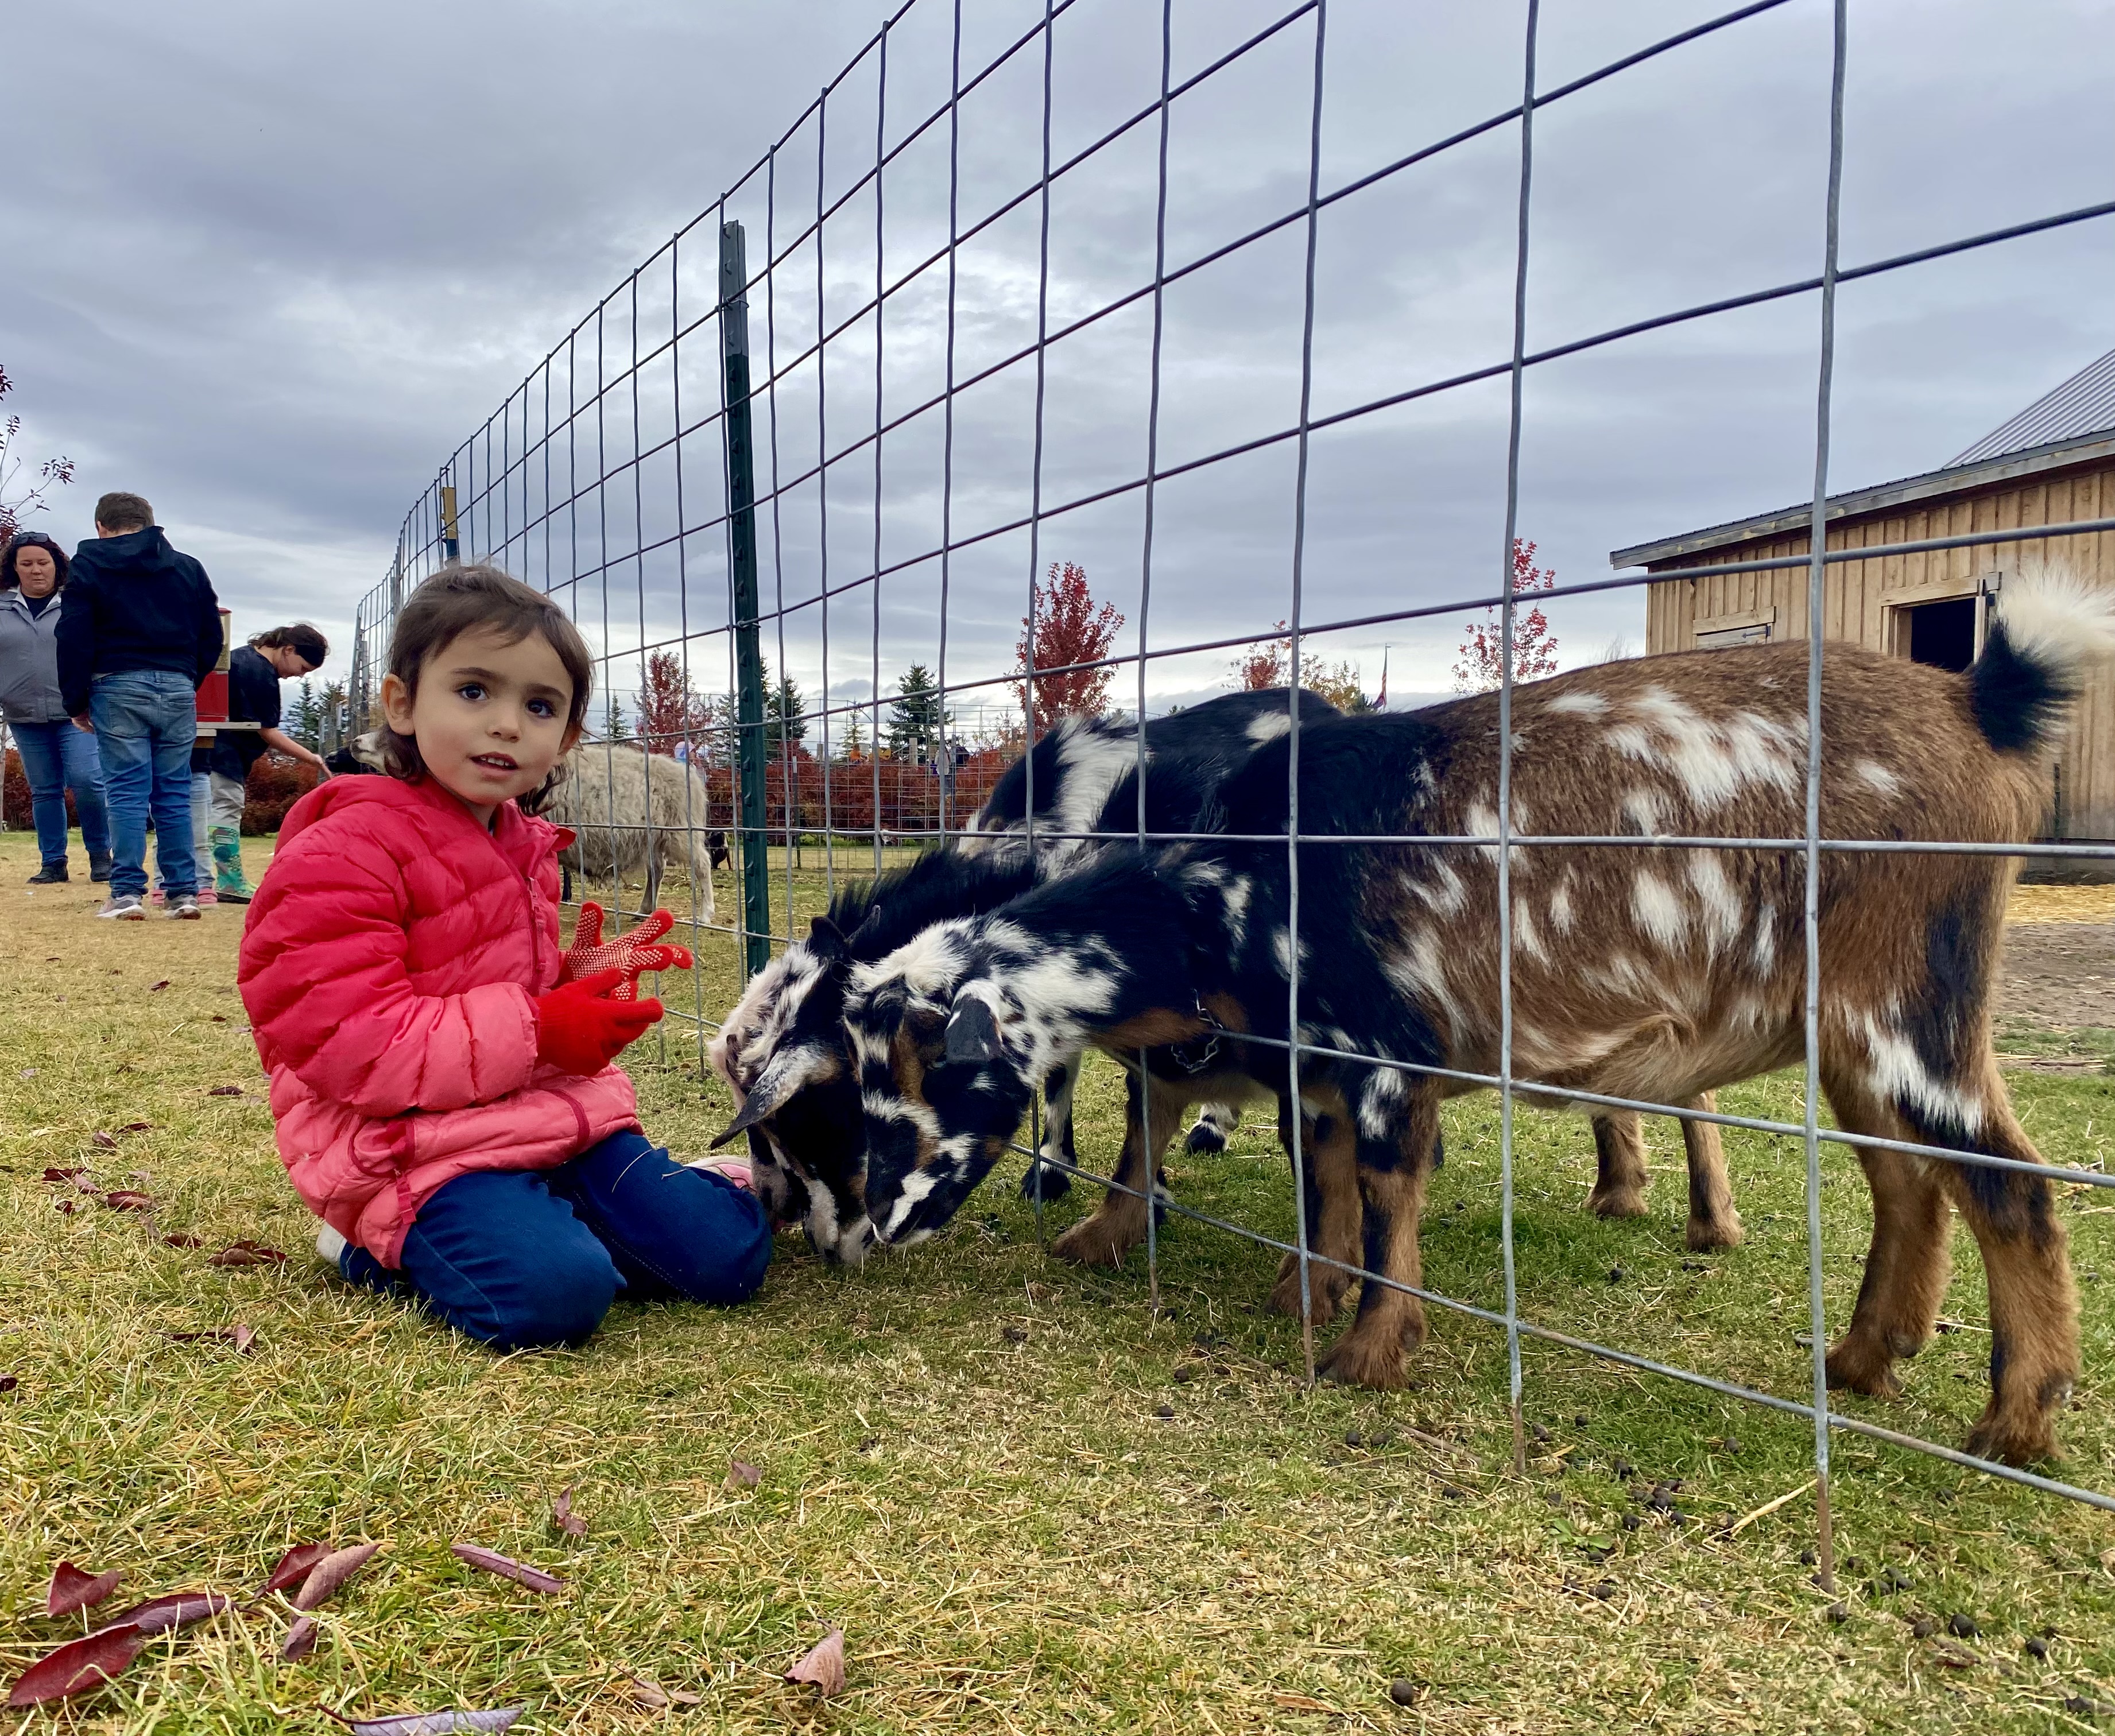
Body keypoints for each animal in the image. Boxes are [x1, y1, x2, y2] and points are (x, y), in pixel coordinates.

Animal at [846, 571, 2115, 1463]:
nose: (865, 1234)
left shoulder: (1383, 1049)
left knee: (2008, 1179)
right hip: (1854, 1028)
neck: (1236, 877)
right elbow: (1319, 1183)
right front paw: (1291, 1295)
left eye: (906, 1085)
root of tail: (1978, 702)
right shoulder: (1317, 1066)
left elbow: (1384, 1190)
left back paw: (2014, 1424)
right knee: (1905, 1177)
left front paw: (1365, 1354)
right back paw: (1857, 1358)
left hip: (1910, 995)